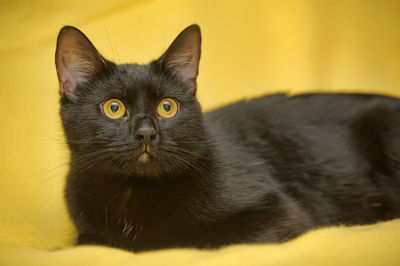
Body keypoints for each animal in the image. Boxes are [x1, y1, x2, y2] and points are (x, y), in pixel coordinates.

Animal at [55, 23, 400, 251]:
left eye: (167, 107)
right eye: (114, 108)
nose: (146, 133)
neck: (133, 192)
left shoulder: (280, 213)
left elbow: (199, 239)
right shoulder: (86, 232)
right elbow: (84, 242)